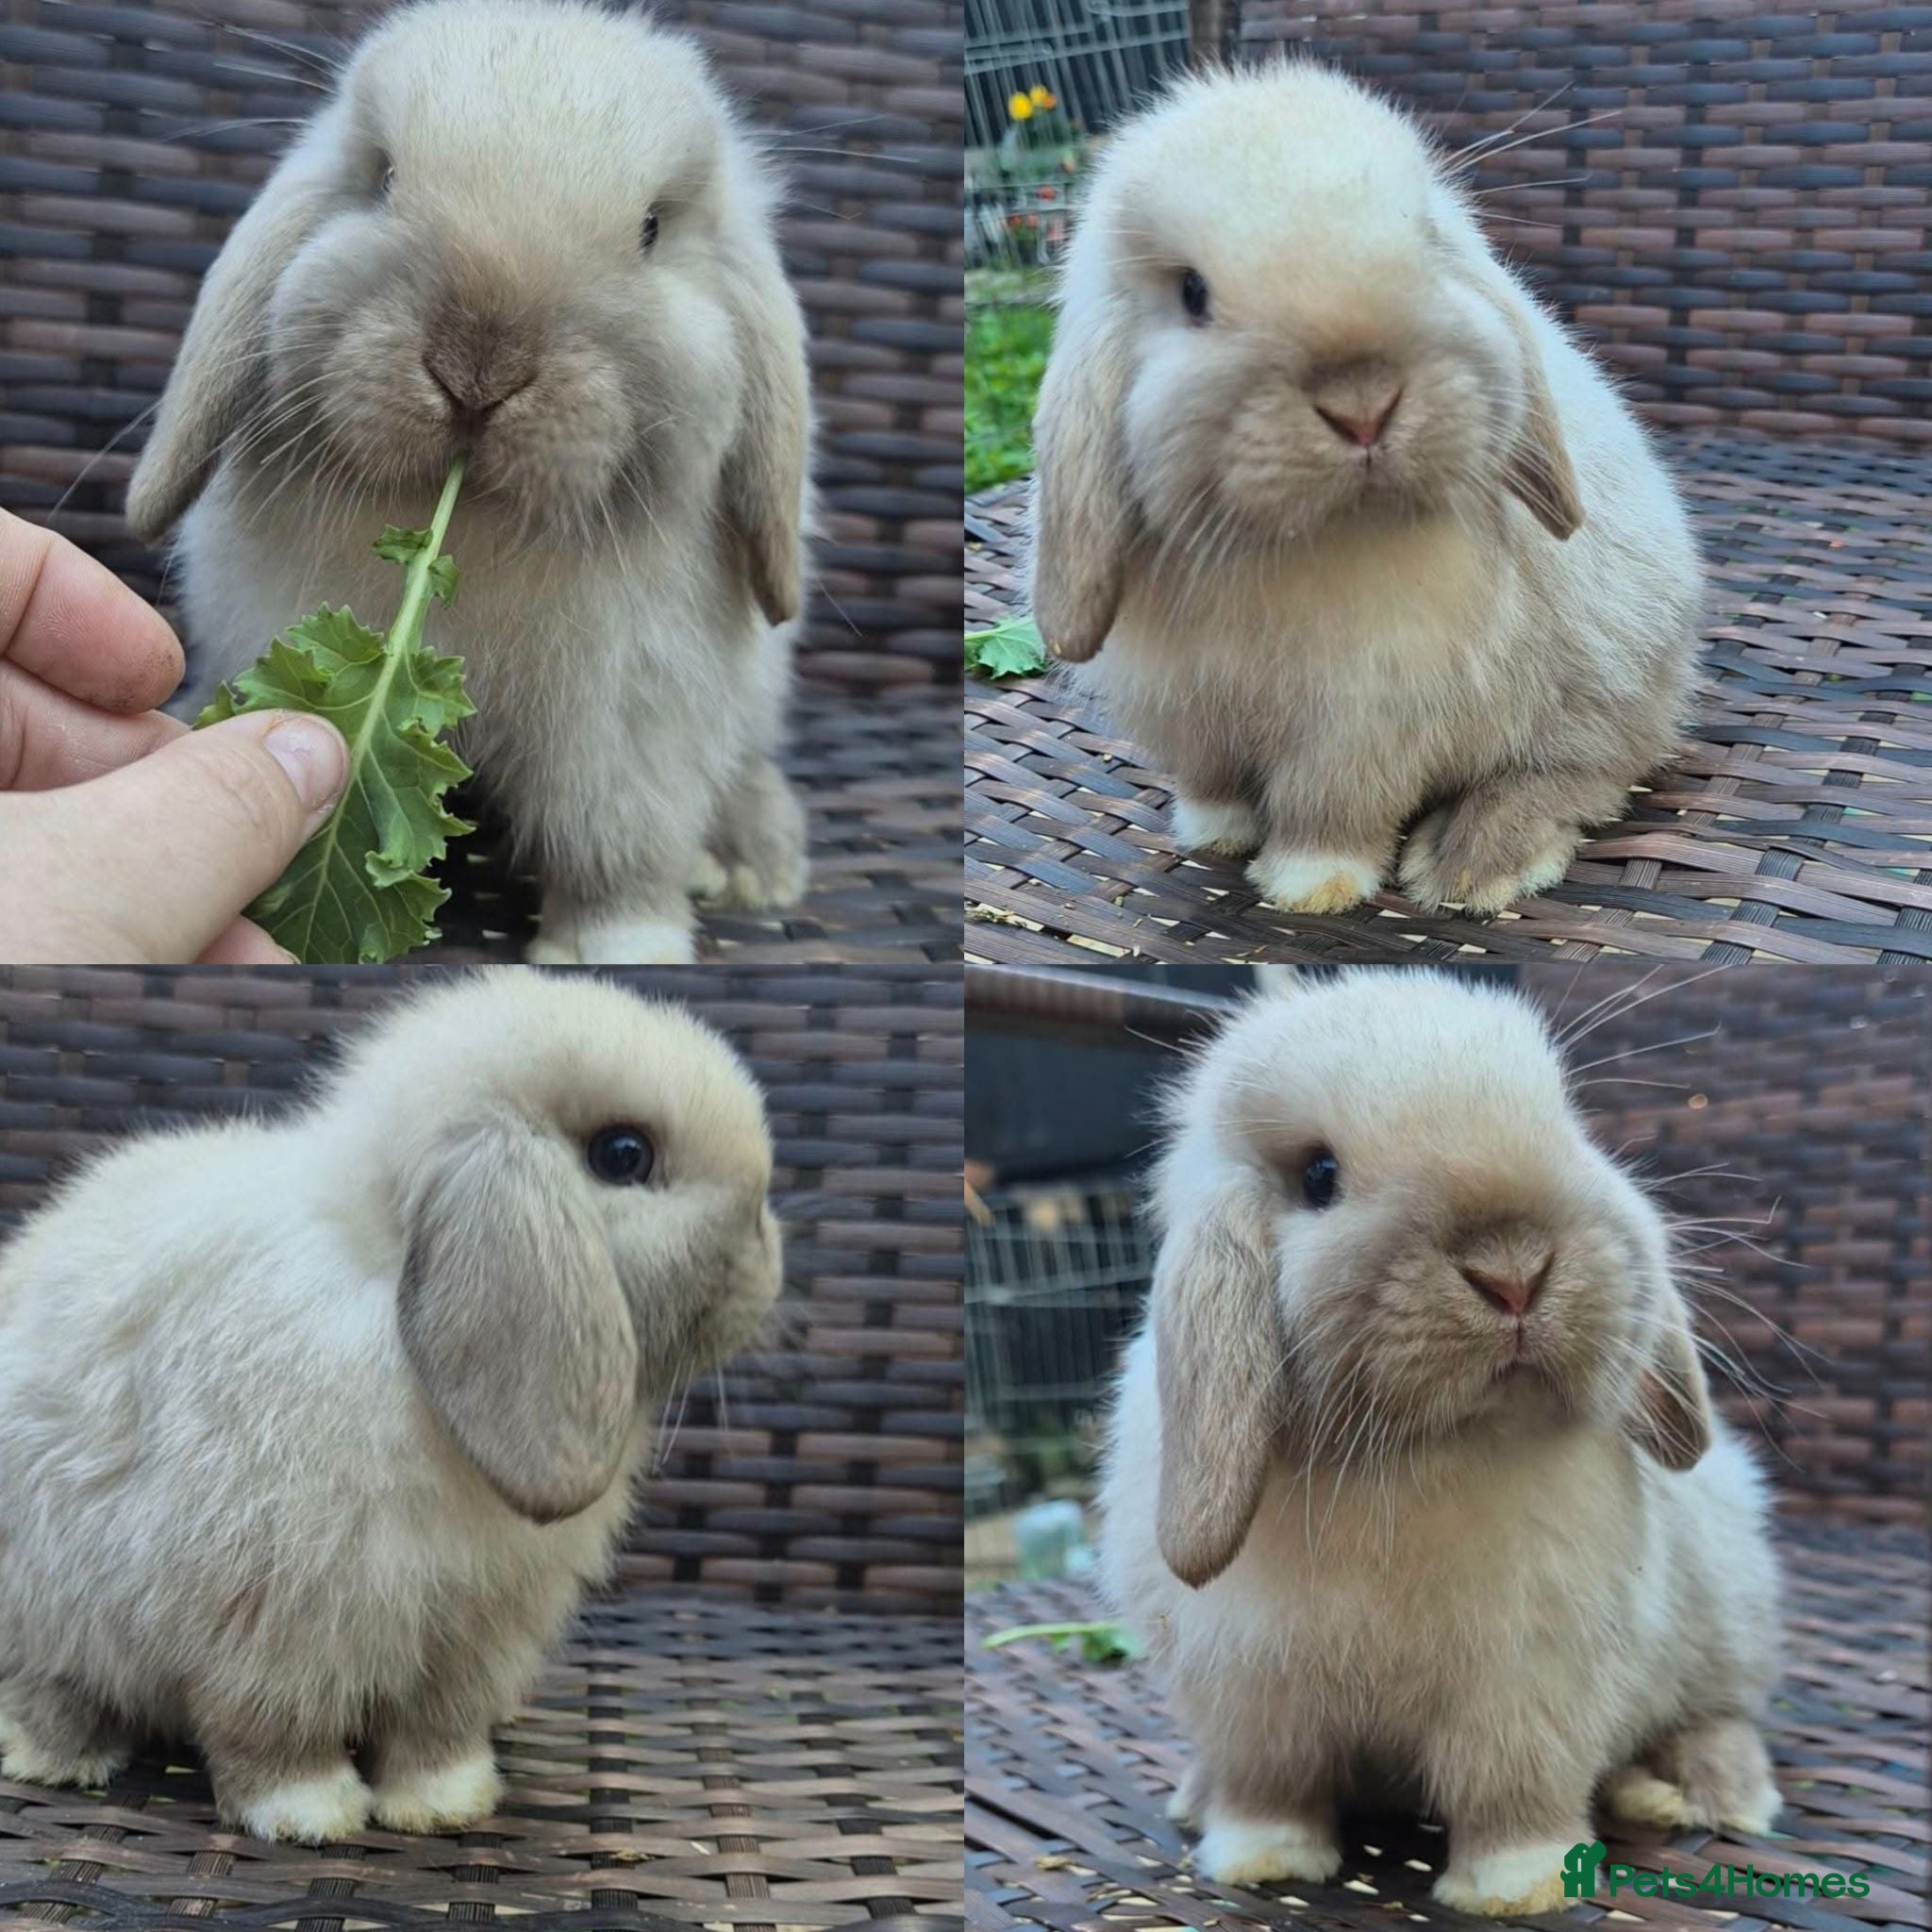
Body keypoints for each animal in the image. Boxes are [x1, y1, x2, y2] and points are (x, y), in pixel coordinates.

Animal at [0, 969, 782, 1843]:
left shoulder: (471, 1636)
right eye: (624, 1155)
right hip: (45, 1612)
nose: (769, 1253)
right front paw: (311, 1813)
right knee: (50, 1689)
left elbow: (436, 1729)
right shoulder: (271, 1620)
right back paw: (61, 1758)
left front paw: (445, 1803)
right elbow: (271, 1728)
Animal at [125, 0, 814, 965]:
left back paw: (754, 868)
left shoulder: (625, 733)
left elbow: (615, 850)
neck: (477, 524)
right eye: (381, 179)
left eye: (651, 228)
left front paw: (616, 951)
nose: (477, 371)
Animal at [1030, 63, 1703, 918]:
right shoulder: (1188, 716)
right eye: (1191, 293)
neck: (1305, 542)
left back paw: (1470, 864)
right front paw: (1213, 835)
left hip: (1602, 692)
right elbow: (1212, 785)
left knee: (1583, 775)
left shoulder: (1362, 727)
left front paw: (1308, 888)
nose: (1364, 405)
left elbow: (1332, 810)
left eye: (1423, 241)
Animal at [1097, 971, 1782, 1917]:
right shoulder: (1255, 1696)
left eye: (1565, 1121)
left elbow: (1510, 1788)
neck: (1410, 1457)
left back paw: (1701, 1796)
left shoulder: (1525, 1685)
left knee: (1719, 1718)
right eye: (1319, 1175)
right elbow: (1270, 1787)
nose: (1515, 1271)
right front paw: (1262, 1861)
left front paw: (1521, 1887)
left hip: (1726, 1622)